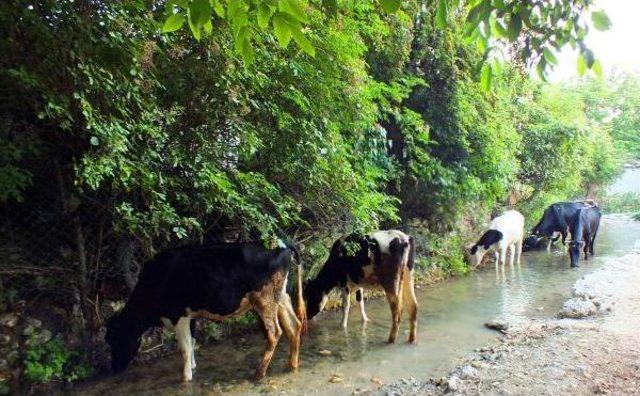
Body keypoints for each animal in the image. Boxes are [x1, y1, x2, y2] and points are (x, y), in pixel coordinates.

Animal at [104, 240, 304, 382]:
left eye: (115, 340)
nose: (114, 369)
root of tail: (282, 248)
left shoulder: (178, 315)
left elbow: (184, 348)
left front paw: (186, 378)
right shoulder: (190, 315)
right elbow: (192, 342)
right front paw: (193, 367)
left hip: (264, 299)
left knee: (274, 333)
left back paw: (259, 373)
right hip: (281, 296)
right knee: (294, 326)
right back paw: (292, 366)